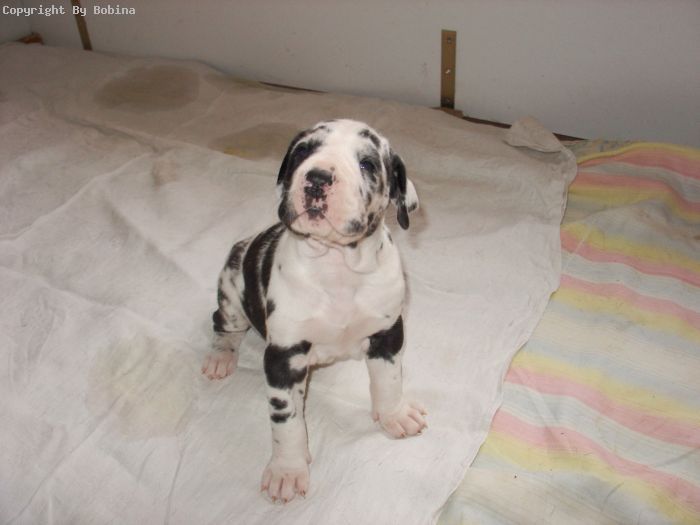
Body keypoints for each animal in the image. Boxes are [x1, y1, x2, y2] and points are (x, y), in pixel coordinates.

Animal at [202, 119, 426, 503]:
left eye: (367, 163)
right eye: (303, 151)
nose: (318, 177)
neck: (337, 266)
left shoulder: (387, 333)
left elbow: (389, 381)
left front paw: (394, 414)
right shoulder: (282, 357)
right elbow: (286, 421)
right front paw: (288, 470)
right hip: (232, 290)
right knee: (222, 323)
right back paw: (221, 356)